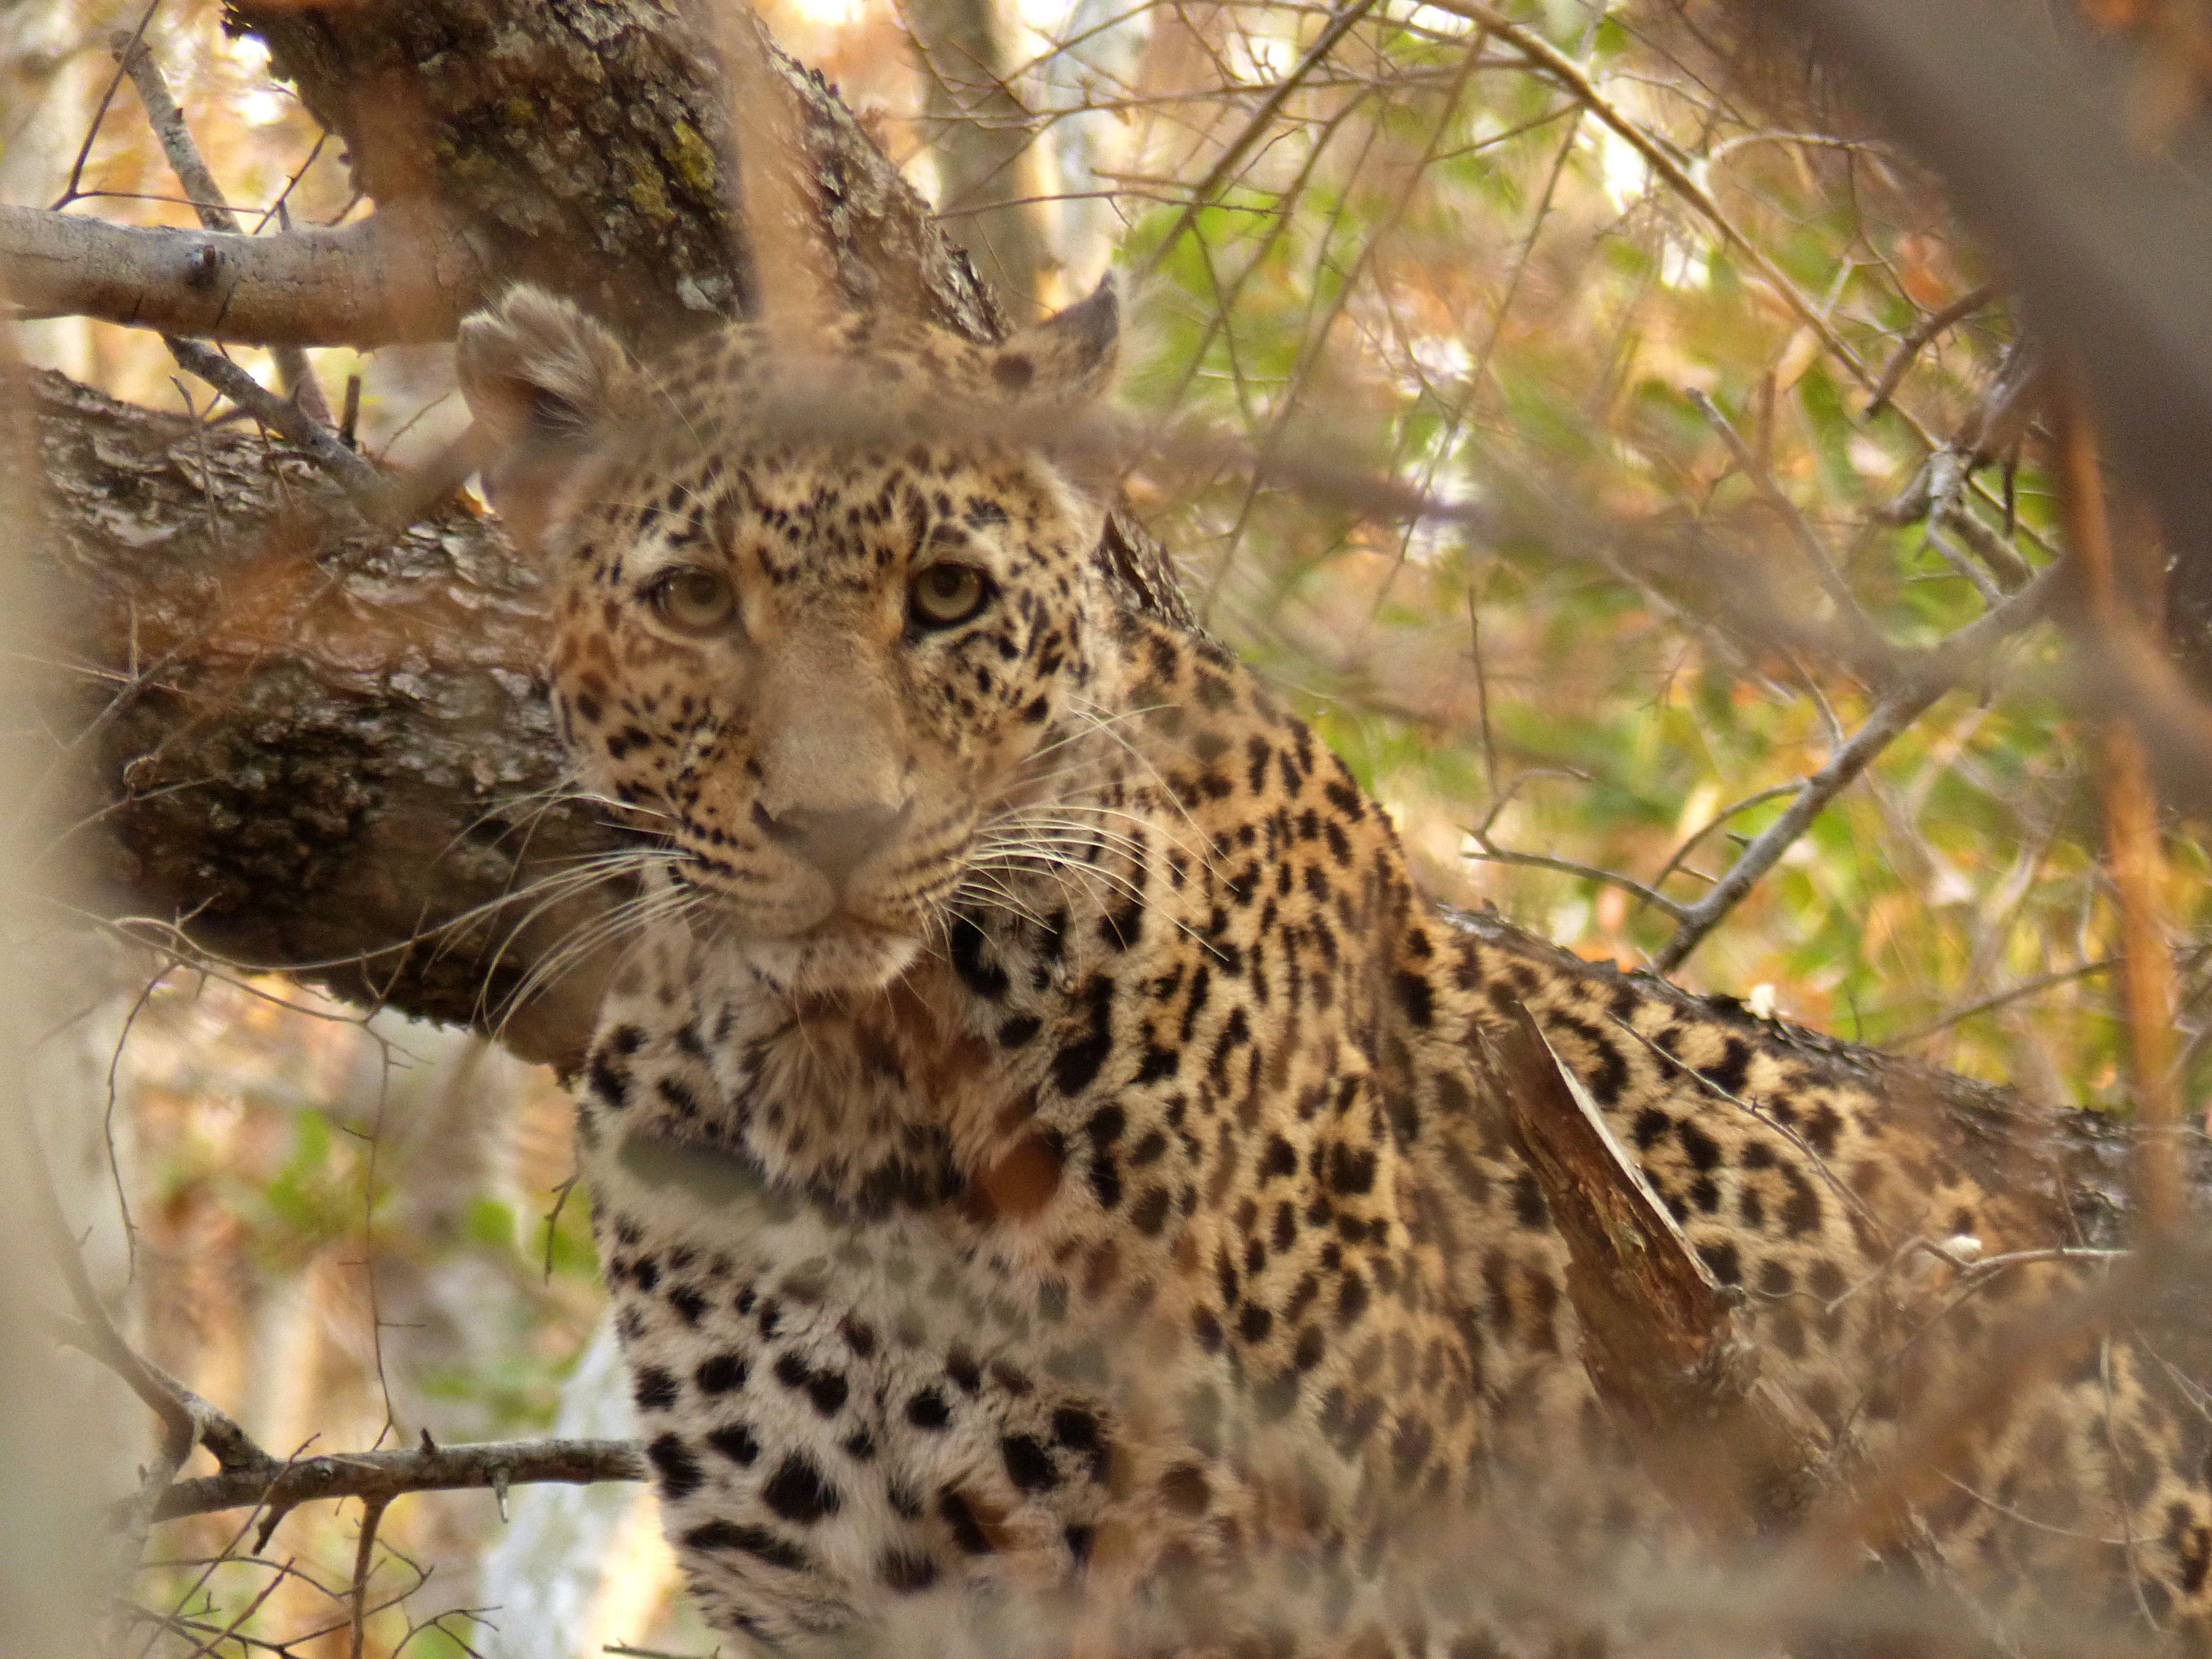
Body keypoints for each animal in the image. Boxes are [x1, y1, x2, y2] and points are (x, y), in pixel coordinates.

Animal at [456, 279, 2212, 1658]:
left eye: (946, 596)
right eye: (694, 599)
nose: (837, 823)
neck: (848, 1070)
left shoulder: (1304, 1584)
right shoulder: (826, 1602)